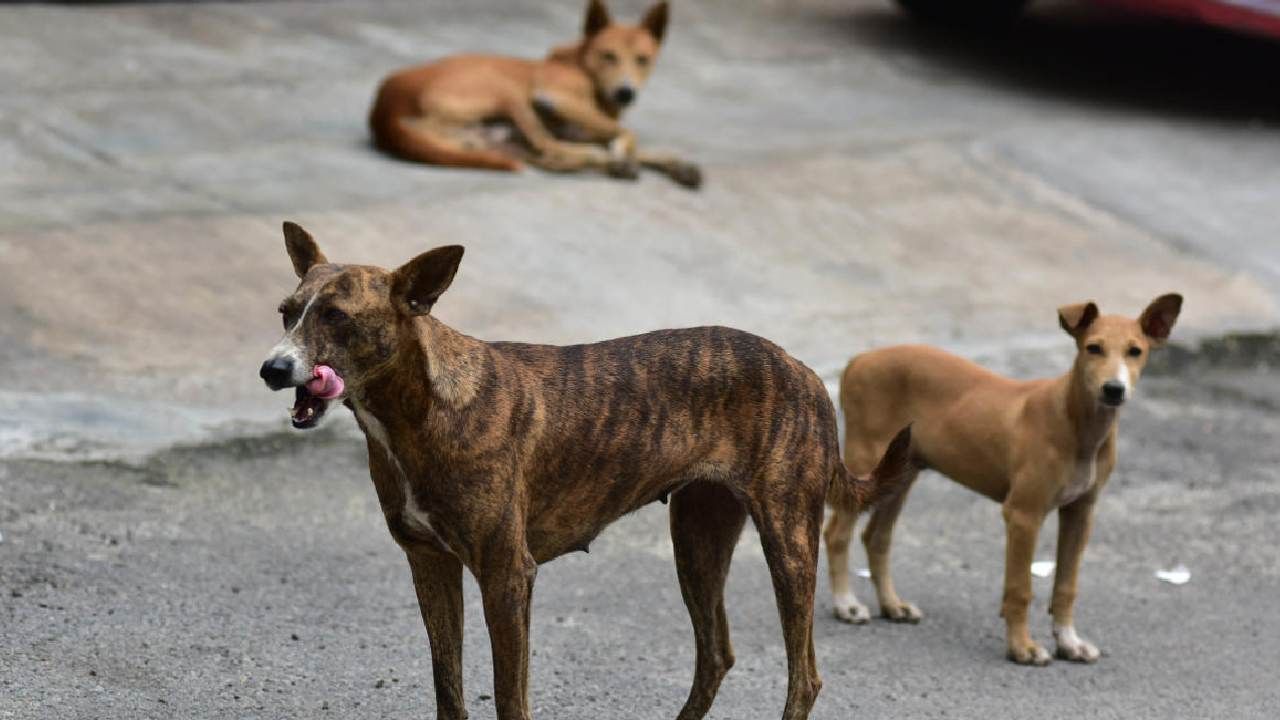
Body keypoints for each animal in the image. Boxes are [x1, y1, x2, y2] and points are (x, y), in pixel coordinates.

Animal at [257, 220, 911, 717]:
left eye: (336, 317)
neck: (422, 408)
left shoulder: (507, 576)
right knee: (716, 654)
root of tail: (805, 370)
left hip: (788, 544)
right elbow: (449, 689)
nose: (272, 368)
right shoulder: (430, 566)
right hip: (697, 539)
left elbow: (509, 698)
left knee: (804, 676)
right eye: (287, 313)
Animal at [366, 0, 706, 188]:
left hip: (500, 140)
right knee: (549, 147)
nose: (626, 92)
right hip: (506, 91)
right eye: (608, 55)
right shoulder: (557, 97)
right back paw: (607, 161)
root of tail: (384, 110)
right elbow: (626, 134)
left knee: (552, 156)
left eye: (643, 60)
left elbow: (640, 146)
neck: (582, 66)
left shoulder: (583, 128)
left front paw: (676, 165)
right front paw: (623, 157)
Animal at [824, 294, 1182, 666]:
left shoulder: (1081, 512)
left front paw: (1069, 642)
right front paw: (1022, 646)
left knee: (876, 538)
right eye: (1093, 348)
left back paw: (892, 605)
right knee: (836, 534)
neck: (1078, 424)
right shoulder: (1023, 514)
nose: (1114, 389)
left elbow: (1066, 585)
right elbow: (1020, 588)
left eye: (1135, 351)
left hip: (899, 474)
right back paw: (846, 604)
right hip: (866, 461)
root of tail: (859, 359)